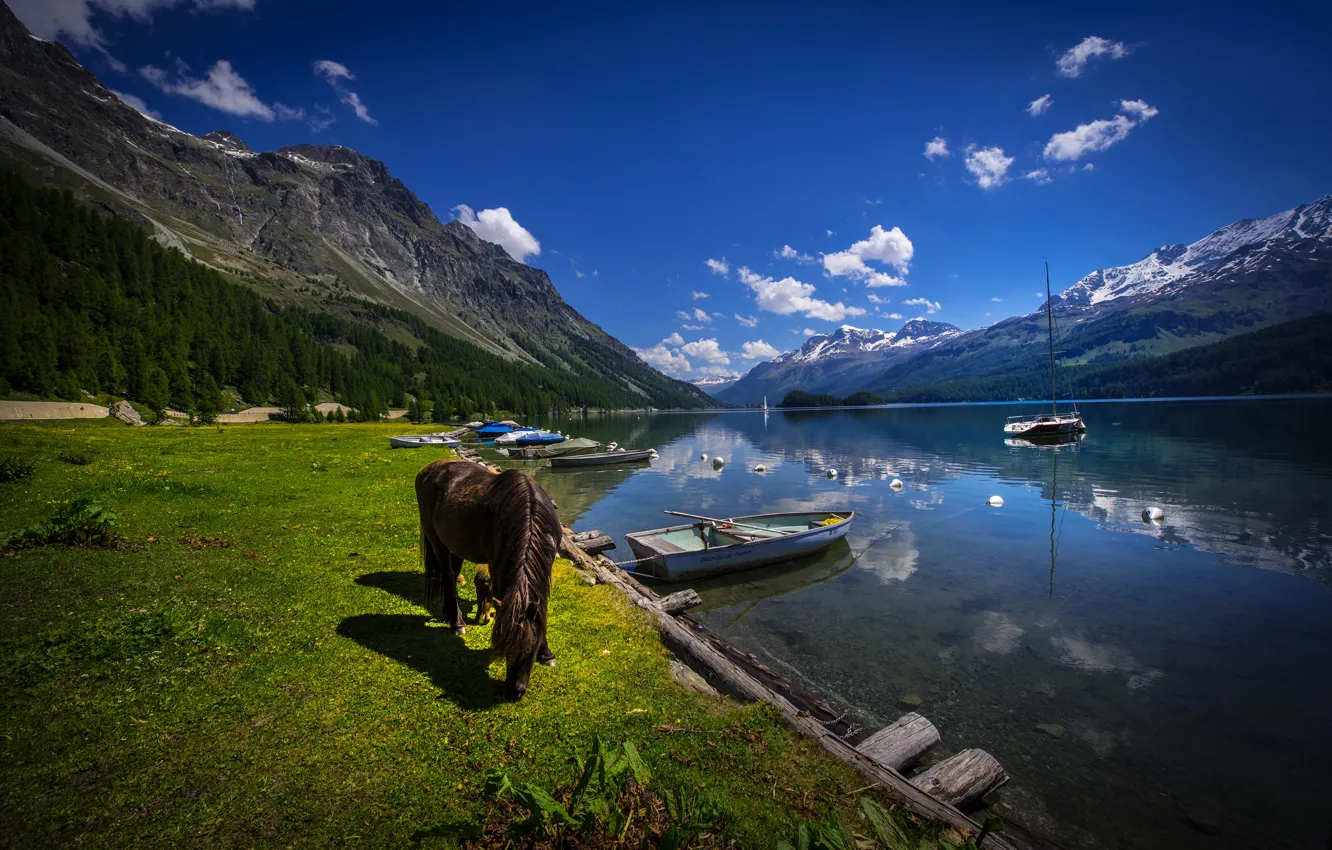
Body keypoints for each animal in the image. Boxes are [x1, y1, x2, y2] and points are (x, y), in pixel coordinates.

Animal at [418, 463, 559, 703]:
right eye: (504, 650)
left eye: (530, 651)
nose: (514, 693)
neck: (531, 515)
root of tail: (428, 470)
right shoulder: (499, 567)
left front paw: (546, 654)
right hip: (437, 541)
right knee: (448, 576)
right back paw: (457, 623)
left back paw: (449, 612)